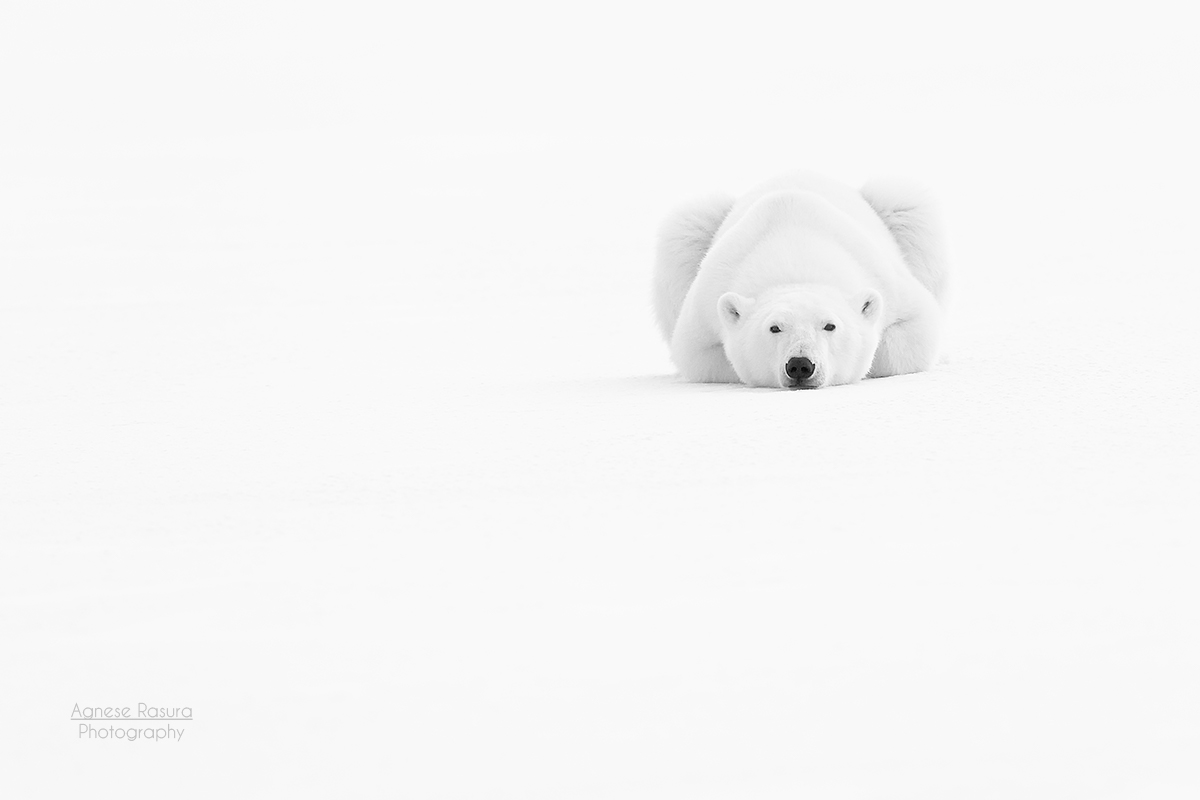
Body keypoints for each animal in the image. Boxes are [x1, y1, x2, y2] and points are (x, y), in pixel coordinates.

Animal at [653, 171, 949, 388]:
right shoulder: (707, 300)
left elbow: (917, 328)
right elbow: (700, 354)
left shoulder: (884, 278)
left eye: (830, 325)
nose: (800, 365)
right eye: (774, 327)